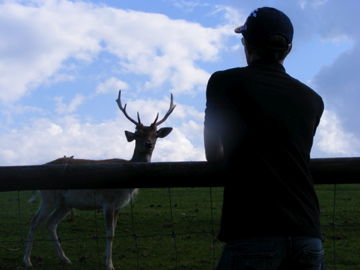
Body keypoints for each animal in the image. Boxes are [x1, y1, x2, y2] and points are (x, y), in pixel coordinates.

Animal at [22, 90, 176, 270]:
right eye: (138, 134)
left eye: (156, 134)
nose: (148, 144)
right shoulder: (108, 201)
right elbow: (109, 233)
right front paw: (109, 264)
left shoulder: (119, 206)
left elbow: (114, 233)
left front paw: (107, 260)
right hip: (49, 198)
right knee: (34, 222)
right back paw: (27, 260)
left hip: (65, 204)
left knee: (50, 224)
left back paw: (65, 259)